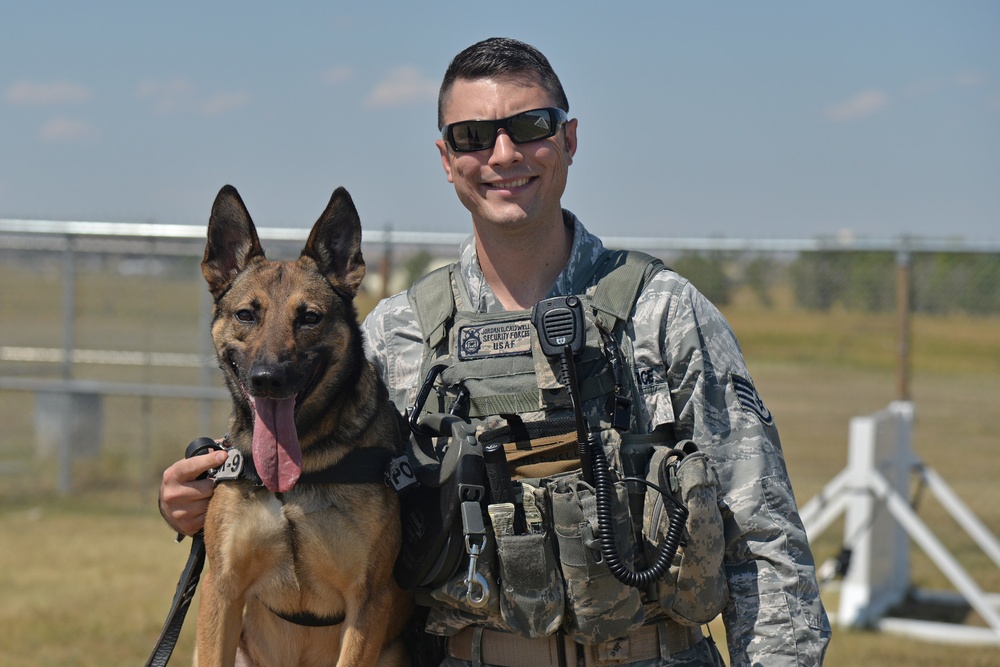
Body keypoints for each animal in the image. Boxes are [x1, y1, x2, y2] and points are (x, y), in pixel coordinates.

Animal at [195, 184, 410, 667]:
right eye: (246, 315)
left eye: (309, 317)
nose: (267, 379)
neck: (299, 473)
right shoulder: (221, 590)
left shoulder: (369, 601)